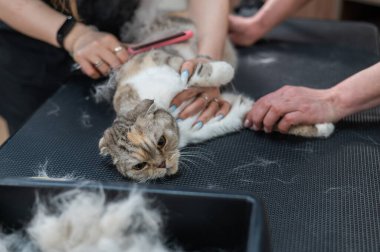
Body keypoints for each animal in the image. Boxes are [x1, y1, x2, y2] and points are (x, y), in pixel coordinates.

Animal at [96, 3, 334, 182]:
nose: (162, 164)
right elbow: (266, 117)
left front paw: (221, 70)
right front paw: (323, 127)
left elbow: (199, 71)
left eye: (161, 141)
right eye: (140, 166)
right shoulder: (230, 113)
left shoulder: (165, 62)